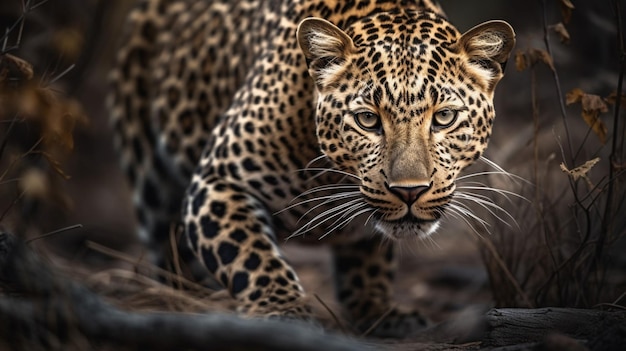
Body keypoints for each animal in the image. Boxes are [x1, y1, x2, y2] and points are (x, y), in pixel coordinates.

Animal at [109, 0, 516, 340]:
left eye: (444, 117)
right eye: (368, 120)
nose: (410, 191)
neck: (332, 175)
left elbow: (369, 260)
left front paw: (378, 312)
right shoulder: (217, 181)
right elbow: (252, 255)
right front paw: (285, 311)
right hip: (150, 179)